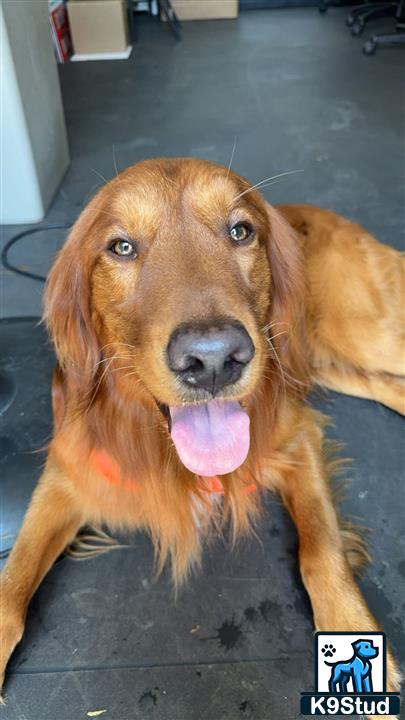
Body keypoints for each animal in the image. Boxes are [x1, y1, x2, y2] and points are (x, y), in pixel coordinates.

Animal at [1, 159, 402, 708]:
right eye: (121, 246)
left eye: (240, 231)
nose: (213, 359)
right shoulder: (66, 475)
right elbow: (9, 591)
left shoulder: (297, 437)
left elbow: (321, 553)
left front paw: (354, 634)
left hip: (363, 335)